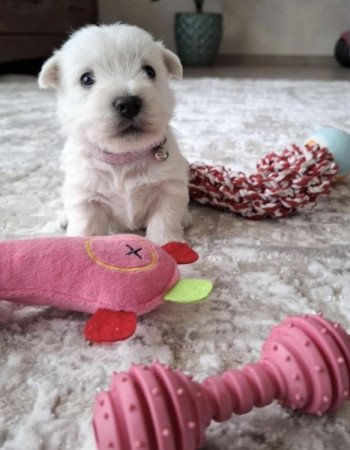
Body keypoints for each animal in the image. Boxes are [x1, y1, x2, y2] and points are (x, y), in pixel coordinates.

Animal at [38, 22, 190, 244]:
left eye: (149, 71)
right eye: (86, 79)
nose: (128, 104)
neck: (123, 158)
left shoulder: (168, 188)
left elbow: (164, 222)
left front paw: (169, 246)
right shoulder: (86, 197)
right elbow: (87, 228)